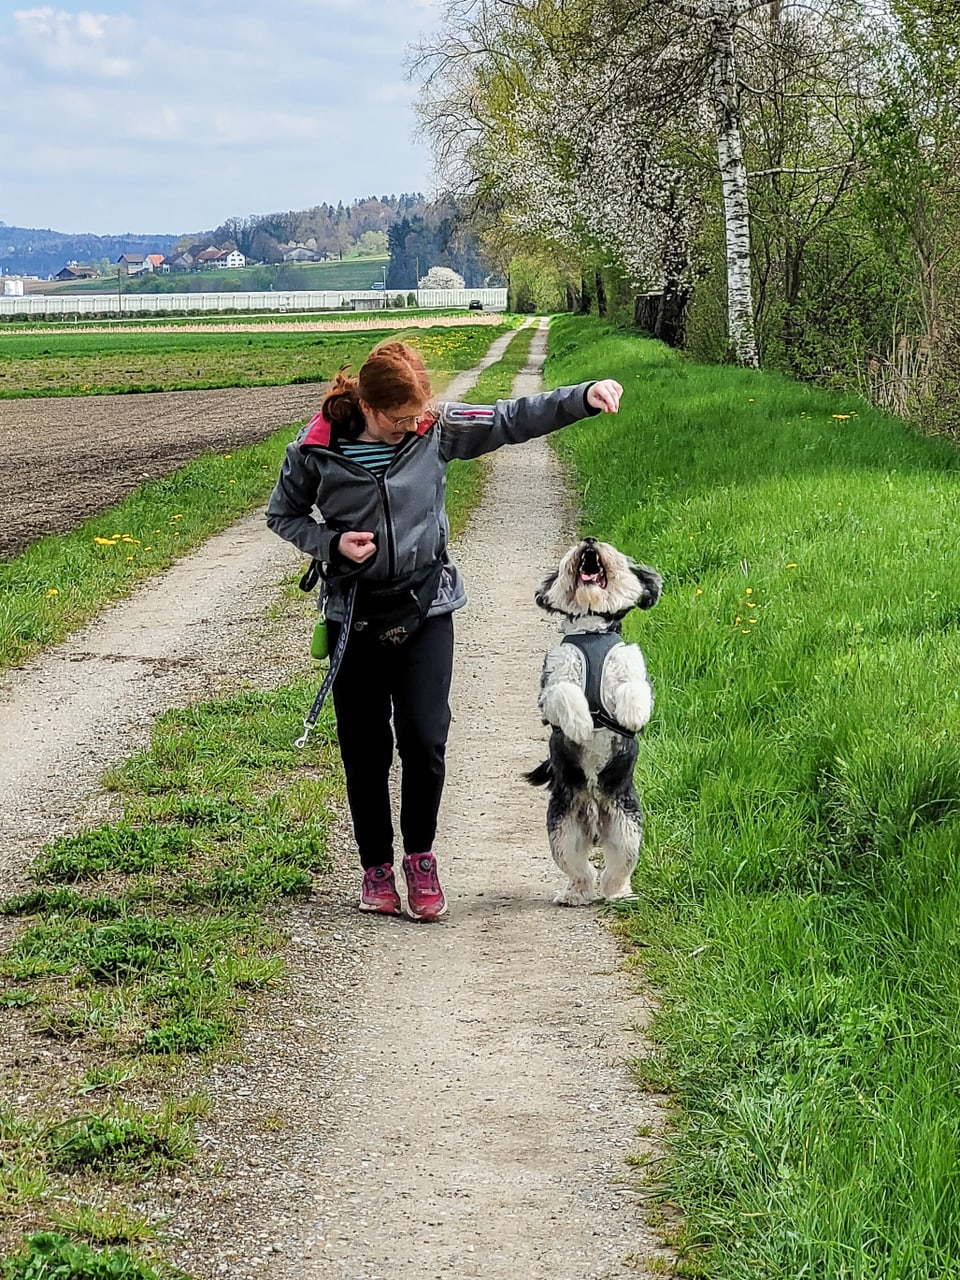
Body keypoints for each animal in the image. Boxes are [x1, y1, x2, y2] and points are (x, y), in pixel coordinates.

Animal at [527, 535, 660, 906]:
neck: (591, 633)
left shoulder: (629, 664)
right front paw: (582, 725)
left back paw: (620, 894)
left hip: (627, 828)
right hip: (563, 829)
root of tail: (595, 819)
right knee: (580, 870)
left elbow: (634, 687)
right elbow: (565, 693)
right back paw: (574, 894)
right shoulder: (553, 681)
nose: (588, 541)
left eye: (610, 548)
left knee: (616, 870)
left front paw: (631, 714)